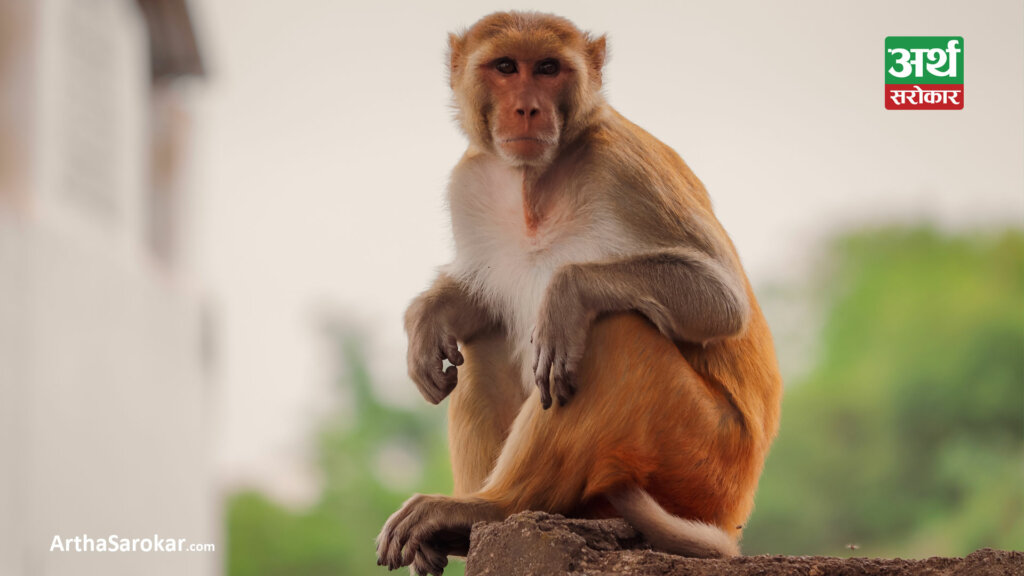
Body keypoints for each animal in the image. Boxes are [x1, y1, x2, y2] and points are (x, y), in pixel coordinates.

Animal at [376, 10, 782, 573]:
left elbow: (721, 301)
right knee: (484, 339)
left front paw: (566, 293)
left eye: (549, 68)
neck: (536, 181)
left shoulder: (625, 167)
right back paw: (470, 522)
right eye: (506, 67)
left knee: (611, 329)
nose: (526, 107)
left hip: (703, 462)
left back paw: (493, 506)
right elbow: (480, 303)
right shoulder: (470, 180)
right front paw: (428, 317)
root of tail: (734, 511)